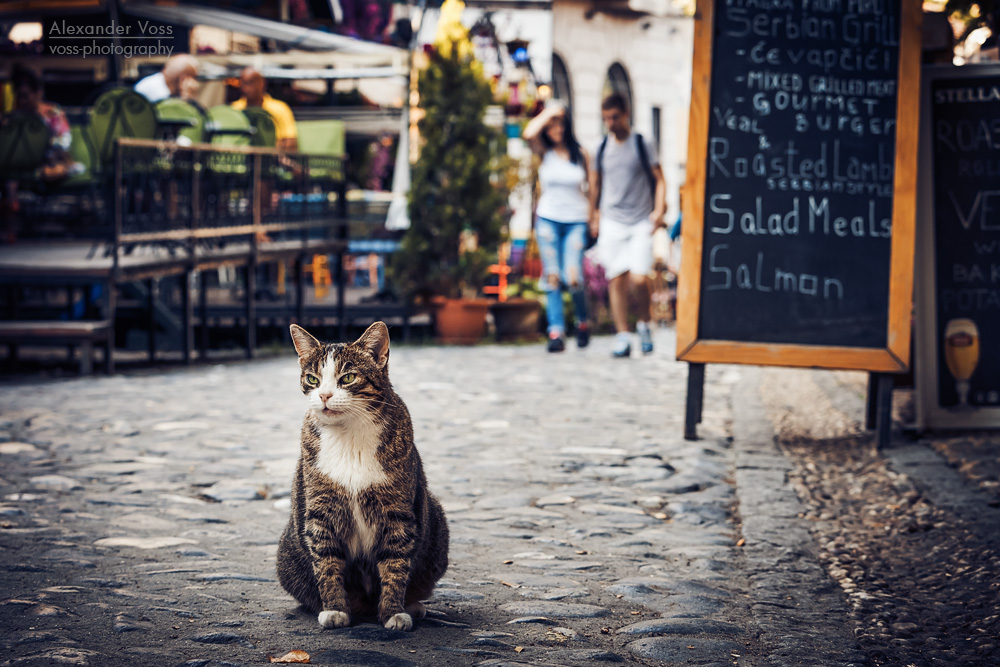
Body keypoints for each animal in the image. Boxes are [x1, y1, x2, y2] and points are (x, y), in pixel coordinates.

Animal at [274, 324, 446, 632]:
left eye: (348, 377)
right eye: (313, 379)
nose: (324, 395)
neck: (348, 434)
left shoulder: (397, 511)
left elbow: (395, 565)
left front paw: (393, 613)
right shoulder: (321, 510)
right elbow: (327, 563)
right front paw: (334, 609)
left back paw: (413, 606)